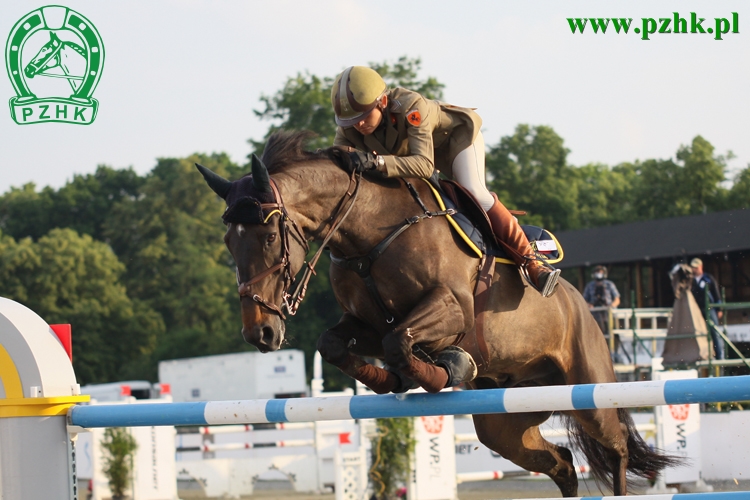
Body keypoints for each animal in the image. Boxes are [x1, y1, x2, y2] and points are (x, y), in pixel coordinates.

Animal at [198, 131, 680, 498]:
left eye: (266, 237)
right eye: (228, 242)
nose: (259, 333)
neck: (370, 234)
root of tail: (581, 303)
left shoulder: (451, 309)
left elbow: (400, 342)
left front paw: (445, 368)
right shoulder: (368, 324)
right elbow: (336, 343)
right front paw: (393, 379)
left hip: (589, 391)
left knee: (616, 449)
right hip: (506, 419)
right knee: (560, 462)